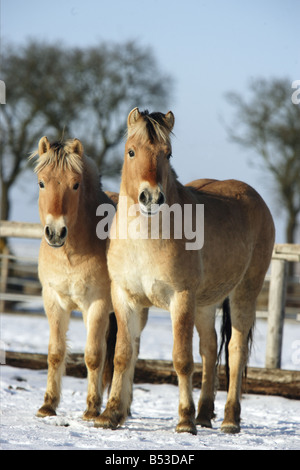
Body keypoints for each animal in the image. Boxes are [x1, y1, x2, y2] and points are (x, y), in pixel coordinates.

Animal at [29, 136, 117, 418]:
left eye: (75, 184)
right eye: (41, 183)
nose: (56, 232)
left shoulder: (97, 304)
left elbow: (93, 356)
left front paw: (91, 409)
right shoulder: (53, 301)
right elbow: (56, 353)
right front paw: (48, 405)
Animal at [95, 107, 276, 434]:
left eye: (168, 154)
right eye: (131, 151)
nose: (151, 197)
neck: (145, 239)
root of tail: (255, 199)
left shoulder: (180, 298)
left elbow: (181, 359)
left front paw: (184, 420)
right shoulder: (125, 298)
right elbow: (122, 356)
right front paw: (110, 414)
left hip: (244, 294)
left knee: (236, 352)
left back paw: (229, 419)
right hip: (206, 304)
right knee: (210, 349)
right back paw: (204, 414)